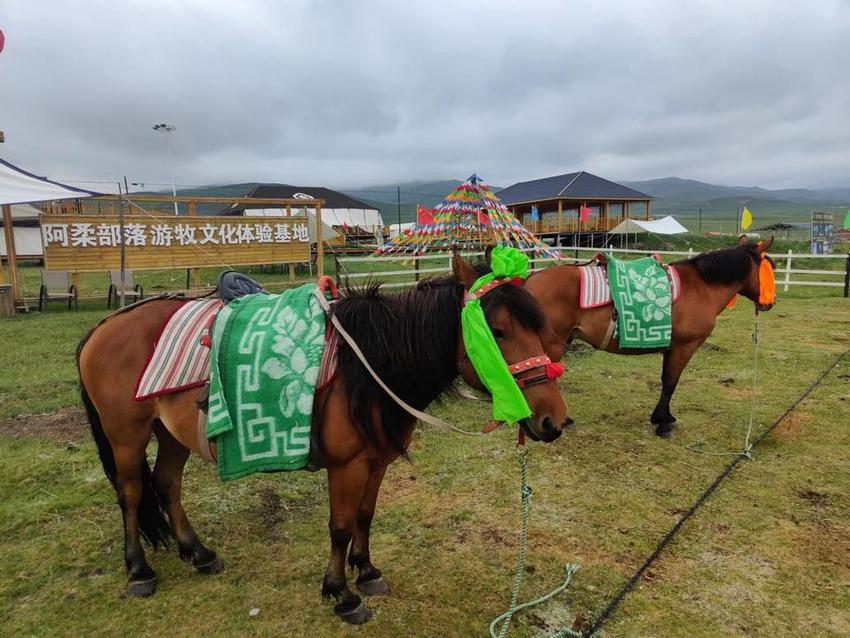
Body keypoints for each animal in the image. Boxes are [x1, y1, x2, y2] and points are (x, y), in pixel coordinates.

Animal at [520, 238, 772, 438]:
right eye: (770, 269)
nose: (769, 304)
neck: (701, 287)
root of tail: (530, 282)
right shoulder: (684, 348)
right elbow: (670, 382)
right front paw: (662, 423)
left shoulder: (671, 348)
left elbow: (666, 380)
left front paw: (665, 417)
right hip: (551, 346)